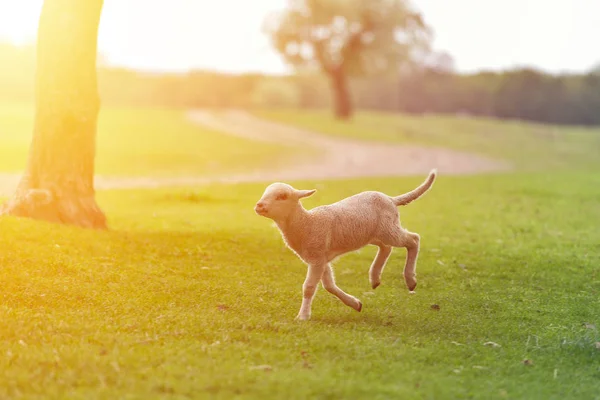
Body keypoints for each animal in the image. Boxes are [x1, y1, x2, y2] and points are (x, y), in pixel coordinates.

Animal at [253, 170, 436, 320]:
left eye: (282, 196)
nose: (259, 205)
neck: (307, 223)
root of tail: (391, 199)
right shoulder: (320, 258)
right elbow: (329, 285)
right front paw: (356, 304)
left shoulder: (317, 257)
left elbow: (309, 287)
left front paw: (303, 316)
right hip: (372, 233)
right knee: (386, 247)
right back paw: (375, 278)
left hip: (388, 229)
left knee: (413, 239)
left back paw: (410, 279)